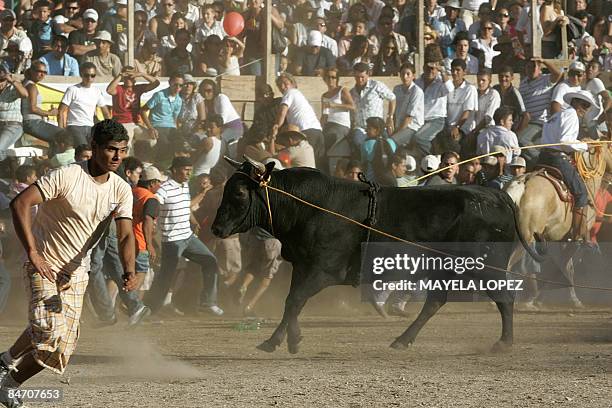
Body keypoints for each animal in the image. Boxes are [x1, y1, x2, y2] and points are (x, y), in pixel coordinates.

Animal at [213, 160, 536, 354]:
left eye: (239, 193)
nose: (216, 228)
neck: (308, 207)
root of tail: (498, 195)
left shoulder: (323, 271)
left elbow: (294, 301)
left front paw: (280, 341)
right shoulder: (303, 268)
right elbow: (292, 302)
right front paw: (286, 339)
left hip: (486, 268)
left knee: (505, 298)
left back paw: (504, 342)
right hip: (444, 269)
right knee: (435, 302)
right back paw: (403, 339)